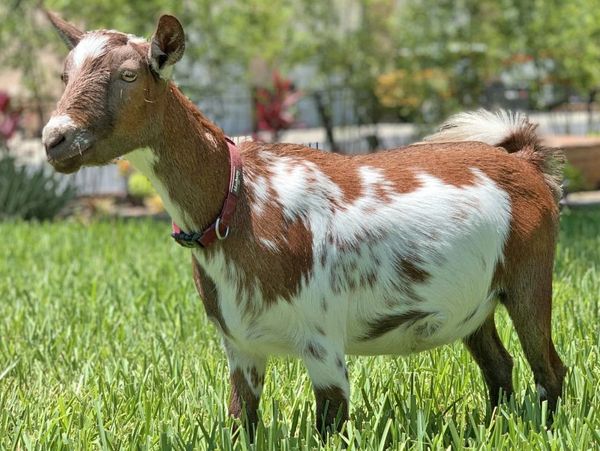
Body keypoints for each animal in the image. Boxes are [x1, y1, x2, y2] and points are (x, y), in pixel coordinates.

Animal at [43, 12, 568, 440]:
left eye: (129, 75)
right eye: (65, 74)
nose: (55, 139)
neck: (240, 199)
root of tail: (524, 161)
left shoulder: (323, 345)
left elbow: (328, 425)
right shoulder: (240, 348)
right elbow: (242, 422)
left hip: (530, 276)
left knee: (549, 369)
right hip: (473, 303)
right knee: (498, 367)